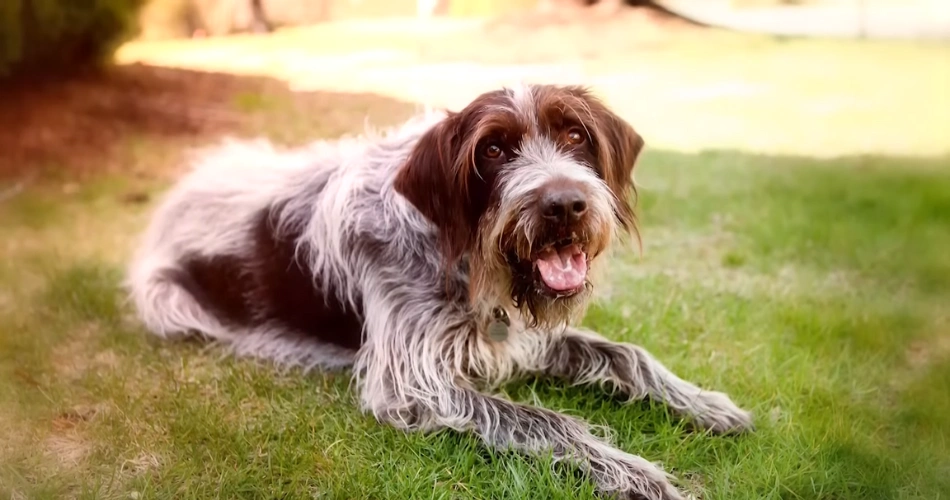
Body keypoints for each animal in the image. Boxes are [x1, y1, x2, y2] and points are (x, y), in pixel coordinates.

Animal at [126, 84, 756, 498]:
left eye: (575, 134)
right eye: (493, 150)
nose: (564, 204)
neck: (466, 261)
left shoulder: (516, 336)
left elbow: (627, 355)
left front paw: (707, 405)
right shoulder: (413, 381)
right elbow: (547, 421)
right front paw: (634, 472)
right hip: (169, 300)